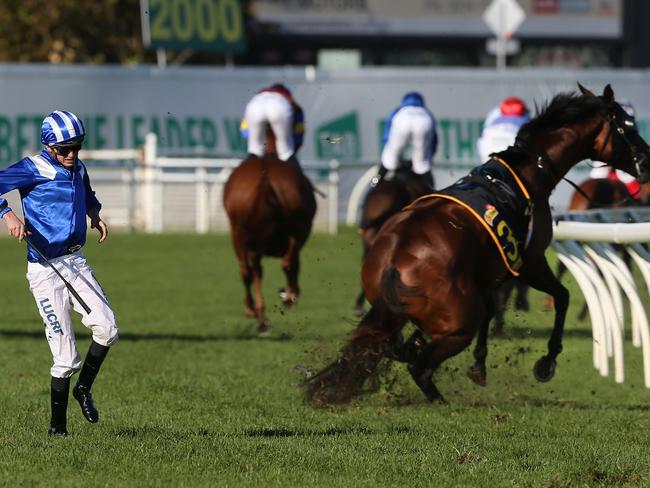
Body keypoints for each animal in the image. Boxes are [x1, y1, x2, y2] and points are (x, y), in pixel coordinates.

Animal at [221, 143, 316, 336]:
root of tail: (264, 180)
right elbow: (292, 264)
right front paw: (290, 294)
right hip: (293, 230)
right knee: (281, 264)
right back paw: (283, 301)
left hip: (239, 234)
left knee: (249, 271)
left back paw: (258, 314)